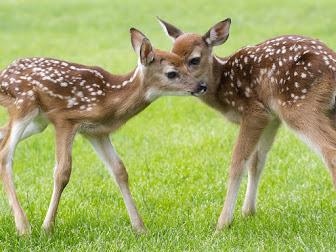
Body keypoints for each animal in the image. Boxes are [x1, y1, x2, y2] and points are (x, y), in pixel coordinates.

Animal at [0, 28, 207, 236]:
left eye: (187, 64)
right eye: (171, 73)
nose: (201, 86)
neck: (109, 98)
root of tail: (3, 76)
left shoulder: (97, 132)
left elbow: (119, 170)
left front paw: (140, 228)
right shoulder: (64, 120)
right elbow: (62, 172)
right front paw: (47, 227)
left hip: (38, 122)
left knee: (2, 135)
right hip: (24, 103)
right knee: (5, 154)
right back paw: (23, 227)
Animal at [158, 17, 336, 230]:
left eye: (194, 59)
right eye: (172, 58)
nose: (193, 87)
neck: (222, 85)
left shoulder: (253, 112)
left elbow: (237, 163)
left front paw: (222, 223)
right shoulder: (271, 117)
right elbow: (256, 162)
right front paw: (248, 212)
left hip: (298, 104)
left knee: (330, 149)